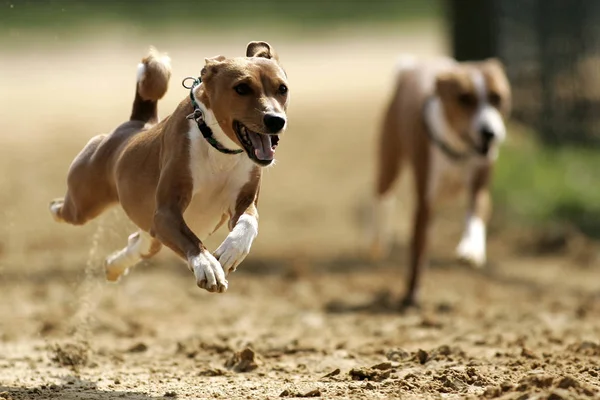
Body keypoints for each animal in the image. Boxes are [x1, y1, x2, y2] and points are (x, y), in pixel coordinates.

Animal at [49, 42, 288, 292]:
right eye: (241, 88)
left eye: (282, 89)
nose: (275, 120)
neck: (218, 147)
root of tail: (139, 123)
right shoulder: (166, 212)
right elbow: (192, 240)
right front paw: (208, 266)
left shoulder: (244, 201)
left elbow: (248, 222)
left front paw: (230, 252)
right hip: (85, 203)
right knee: (65, 209)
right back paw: (56, 210)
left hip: (152, 233)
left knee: (138, 243)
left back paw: (114, 267)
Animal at [370, 55, 510, 306]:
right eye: (464, 98)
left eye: (497, 98)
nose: (489, 133)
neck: (458, 151)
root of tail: (411, 69)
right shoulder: (425, 200)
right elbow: (418, 247)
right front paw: (412, 293)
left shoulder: (480, 189)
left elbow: (475, 216)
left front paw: (471, 250)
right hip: (389, 163)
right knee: (382, 199)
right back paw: (378, 241)